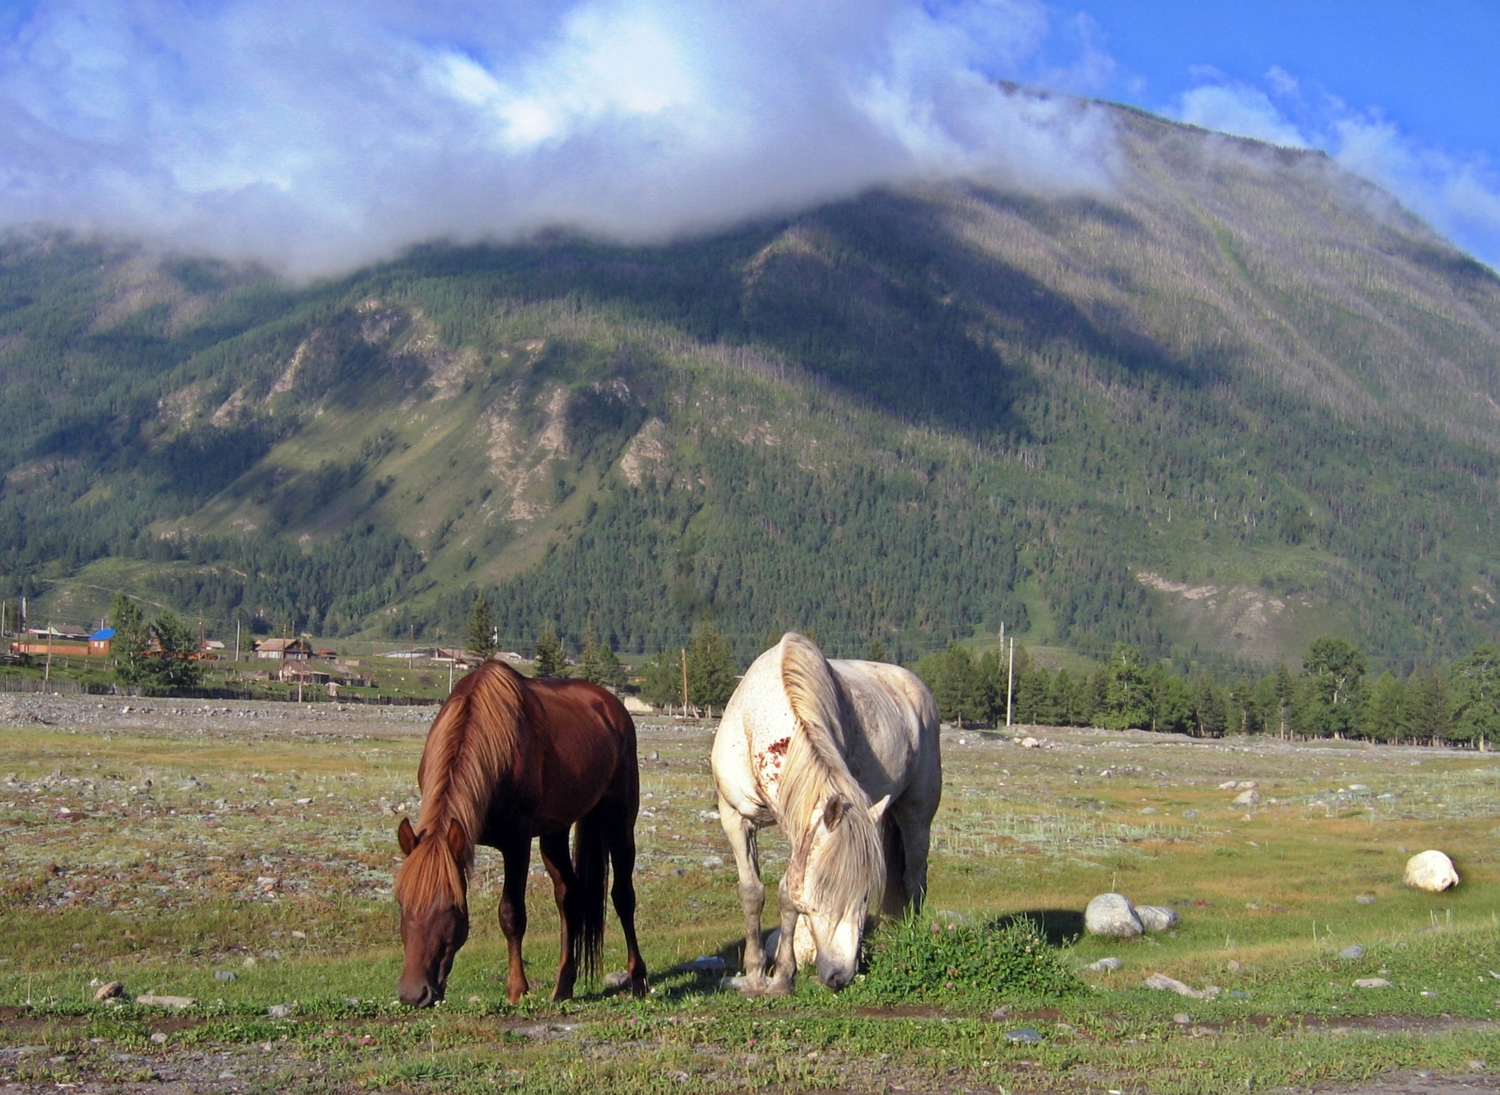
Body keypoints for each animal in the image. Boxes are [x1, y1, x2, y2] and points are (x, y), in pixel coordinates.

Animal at [393, 657, 645, 1008]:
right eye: (402, 904)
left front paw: (516, 989)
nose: (413, 994)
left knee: (623, 896)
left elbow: (511, 915)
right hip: (556, 831)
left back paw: (638, 980)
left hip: (620, 820)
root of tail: (612, 707)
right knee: (568, 896)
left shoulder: (517, 843)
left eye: (452, 908)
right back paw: (563, 986)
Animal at [711, 630, 936, 990]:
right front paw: (756, 975)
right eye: (819, 898)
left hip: (917, 812)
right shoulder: (735, 818)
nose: (840, 975)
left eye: (863, 897)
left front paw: (782, 977)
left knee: (914, 876)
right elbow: (752, 893)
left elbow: (787, 893)